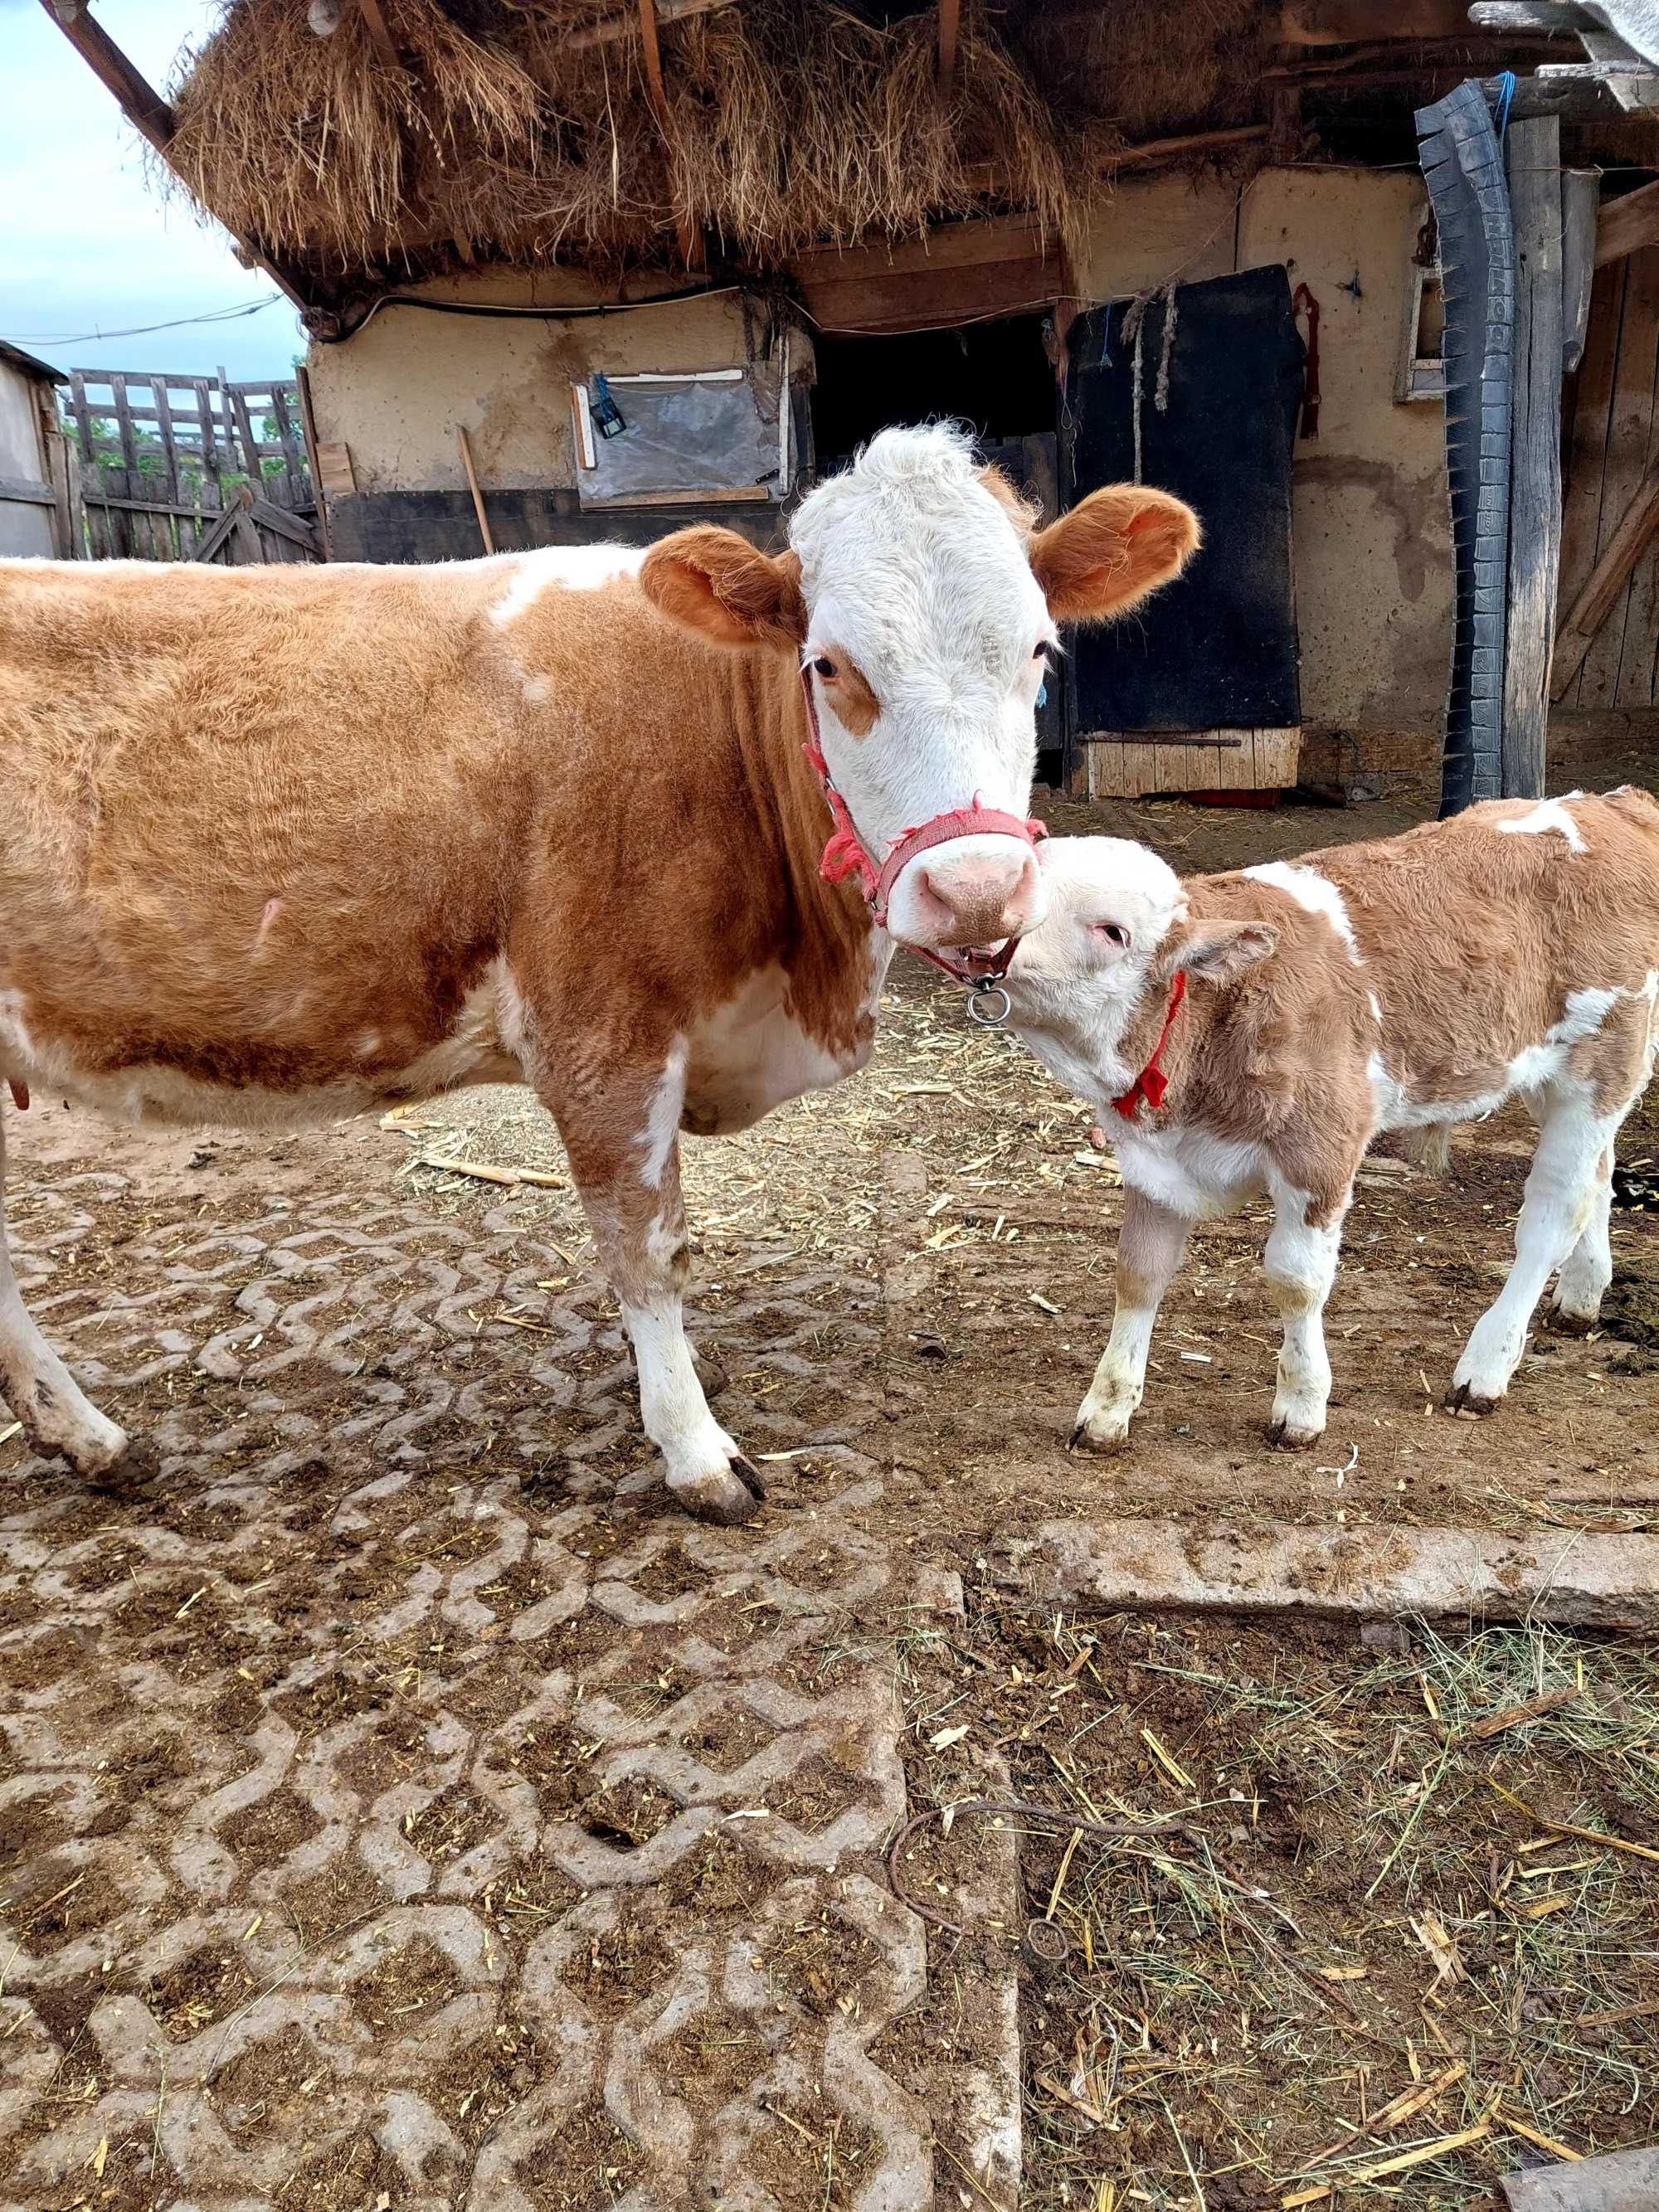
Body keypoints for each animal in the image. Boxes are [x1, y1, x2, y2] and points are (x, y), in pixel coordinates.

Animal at [0, 418, 1203, 1521]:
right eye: (828, 665)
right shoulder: (598, 1036)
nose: (979, 893)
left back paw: (93, 1442)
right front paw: (695, 1452)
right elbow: (647, 1250)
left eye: (1038, 652)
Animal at [1000, 796, 1659, 1451]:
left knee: (1553, 1214)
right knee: (1596, 1178)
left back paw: (1486, 1368)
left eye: (1113, 930)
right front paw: (1107, 1408)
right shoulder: (1154, 1161)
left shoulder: (1320, 1148)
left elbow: (1296, 1279)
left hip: (1600, 1068)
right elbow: (1139, 1270)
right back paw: (1581, 1295)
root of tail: (1613, 804)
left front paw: (1301, 1405)